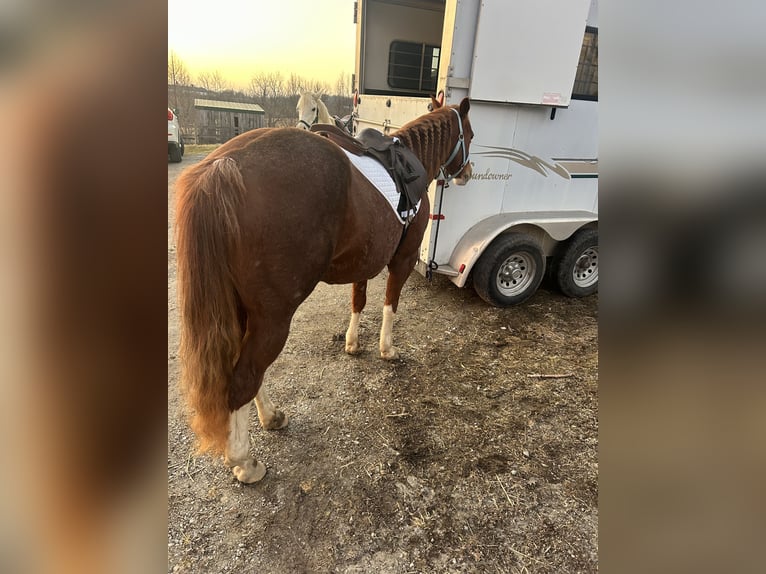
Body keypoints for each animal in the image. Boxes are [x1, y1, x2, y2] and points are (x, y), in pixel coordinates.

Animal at [174, 96, 473, 483]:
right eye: (470, 134)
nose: (467, 171)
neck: (411, 161)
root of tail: (223, 166)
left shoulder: (366, 261)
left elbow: (359, 300)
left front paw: (353, 343)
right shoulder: (402, 260)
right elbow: (390, 304)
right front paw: (387, 349)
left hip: (243, 312)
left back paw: (270, 416)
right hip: (273, 318)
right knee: (244, 377)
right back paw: (244, 462)